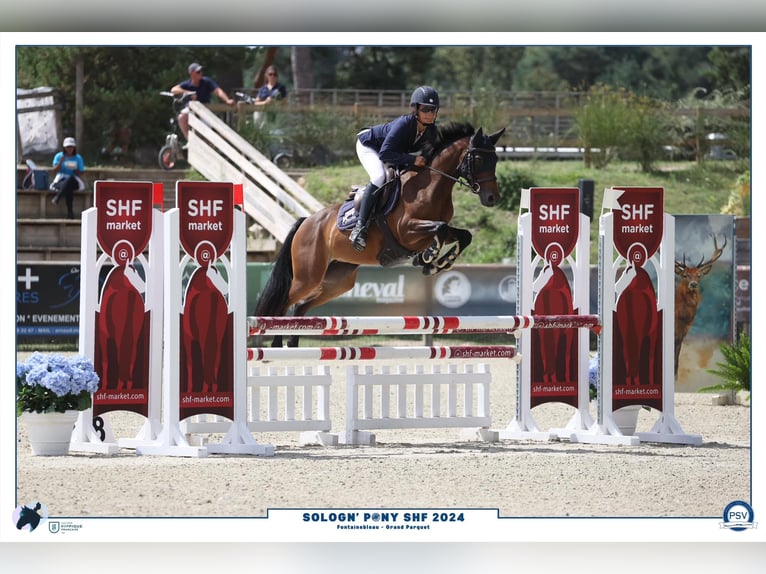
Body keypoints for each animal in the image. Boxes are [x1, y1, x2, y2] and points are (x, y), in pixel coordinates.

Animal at [255, 122, 508, 346]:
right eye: (478, 159)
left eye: (495, 159)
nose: (492, 198)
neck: (430, 187)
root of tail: (306, 222)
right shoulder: (407, 230)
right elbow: (440, 228)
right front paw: (428, 257)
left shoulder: (435, 230)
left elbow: (463, 235)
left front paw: (438, 263)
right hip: (308, 276)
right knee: (284, 304)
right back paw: (276, 344)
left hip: (338, 280)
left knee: (300, 307)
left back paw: (292, 344)